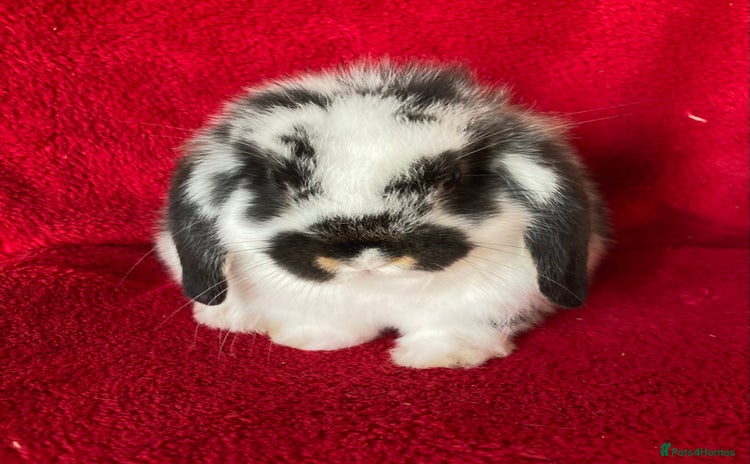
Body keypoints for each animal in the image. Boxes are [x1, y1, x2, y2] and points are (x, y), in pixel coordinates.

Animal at [156, 60, 608, 369]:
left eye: (450, 179)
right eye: (280, 179)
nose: (364, 252)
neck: (377, 289)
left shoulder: (483, 303)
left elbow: (452, 327)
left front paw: (443, 357)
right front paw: (309, 340)